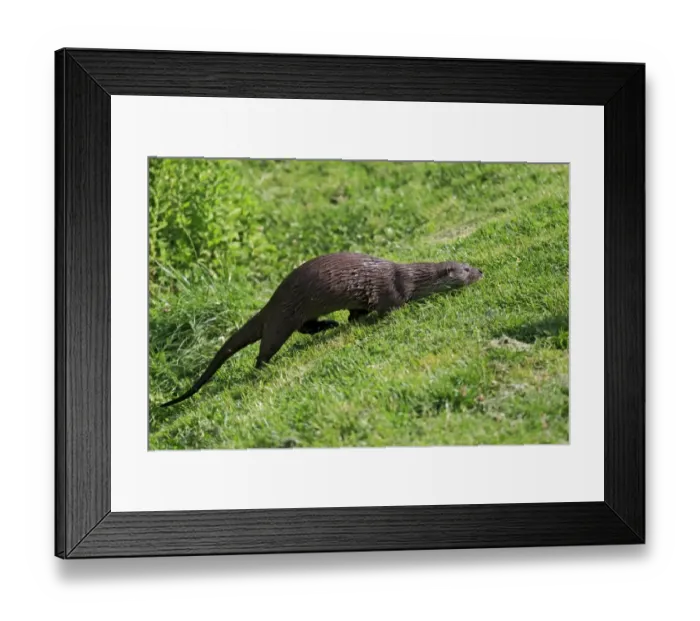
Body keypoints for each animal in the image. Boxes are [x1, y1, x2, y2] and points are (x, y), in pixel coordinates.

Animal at [160, 252, 483, 407]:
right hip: (281, 323)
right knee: (265, 350)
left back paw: (330, 324)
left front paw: (352, 320)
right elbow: (390, 308)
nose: (480, 271)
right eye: (466, 269)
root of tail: (270, 304)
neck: (411, 278)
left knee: (306, 328)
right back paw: (265, 367)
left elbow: (358, 312)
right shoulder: (393, 291)